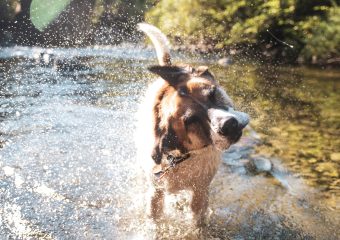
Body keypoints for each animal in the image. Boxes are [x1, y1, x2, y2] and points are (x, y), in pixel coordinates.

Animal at [136, 23, 250, 227]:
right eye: (191, 120)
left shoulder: (200, 192)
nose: (228, 125)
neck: (180, 156)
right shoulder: (156, 193)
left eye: (213, 93)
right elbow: (155, 219)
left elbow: (198, 220)